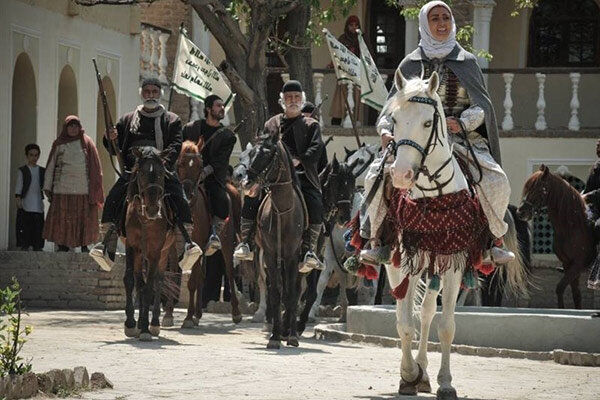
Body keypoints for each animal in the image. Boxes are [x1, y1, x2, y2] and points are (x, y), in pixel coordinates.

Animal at [122, 147, 176, 340]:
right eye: (142, 173)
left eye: (161, 173)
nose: (153, 209)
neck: (145, 219)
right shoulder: (131, 246)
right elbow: (130, 280)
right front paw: (131, 324)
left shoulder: (155, 251)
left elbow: (149, 287)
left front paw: (145, 327)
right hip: (139, 254)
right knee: (139, 280)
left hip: (164, 252)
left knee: (157, 281)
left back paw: (154, 323)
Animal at [171, 139, 241, 326]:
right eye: (180, 163)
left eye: (199, 165)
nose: (187, 192)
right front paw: (171, 314)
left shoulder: (197, 244)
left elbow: (192, 281)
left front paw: (188, 317)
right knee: (202, 275)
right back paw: (198, 313)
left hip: (226, 242)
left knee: (229, 273)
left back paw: (236, 312)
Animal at [382, 70, 528, 398]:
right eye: (393, 119)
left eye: (428, 123)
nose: (401, 175)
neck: (433, 194)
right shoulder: (404, 262)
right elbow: (403, 323)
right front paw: (408, 374)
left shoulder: (454, 262)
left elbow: (445, 325)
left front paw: (444, 382)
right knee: (409, 314)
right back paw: (415, 372)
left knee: (426, 312)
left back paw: (425, 372)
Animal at [516, 164, 596, 308]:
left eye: (539, 189)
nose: (521, 212)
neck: (573, 227)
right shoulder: (568, 263)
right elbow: (576, 294)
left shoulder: (577, 264)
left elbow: (560, 287)